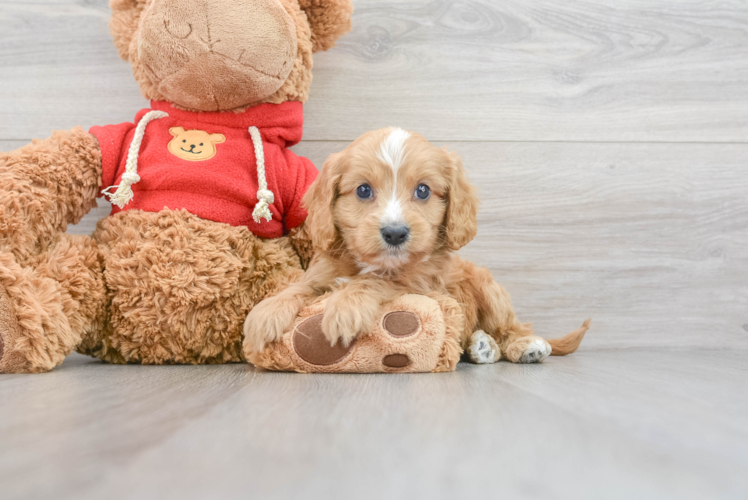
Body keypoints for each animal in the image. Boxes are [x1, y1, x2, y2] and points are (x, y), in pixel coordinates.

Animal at [245, 128, 592, 364]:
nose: (395, 233)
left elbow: (377, 280)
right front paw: (266, 313)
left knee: (511, 327)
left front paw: (346, 306)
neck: (374, 261)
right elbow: (300, 288)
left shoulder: (421, 284)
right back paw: (481, 346)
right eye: (363, 190)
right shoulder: (322, 272)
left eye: (423, 190)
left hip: (488, 287)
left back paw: (524, 346)